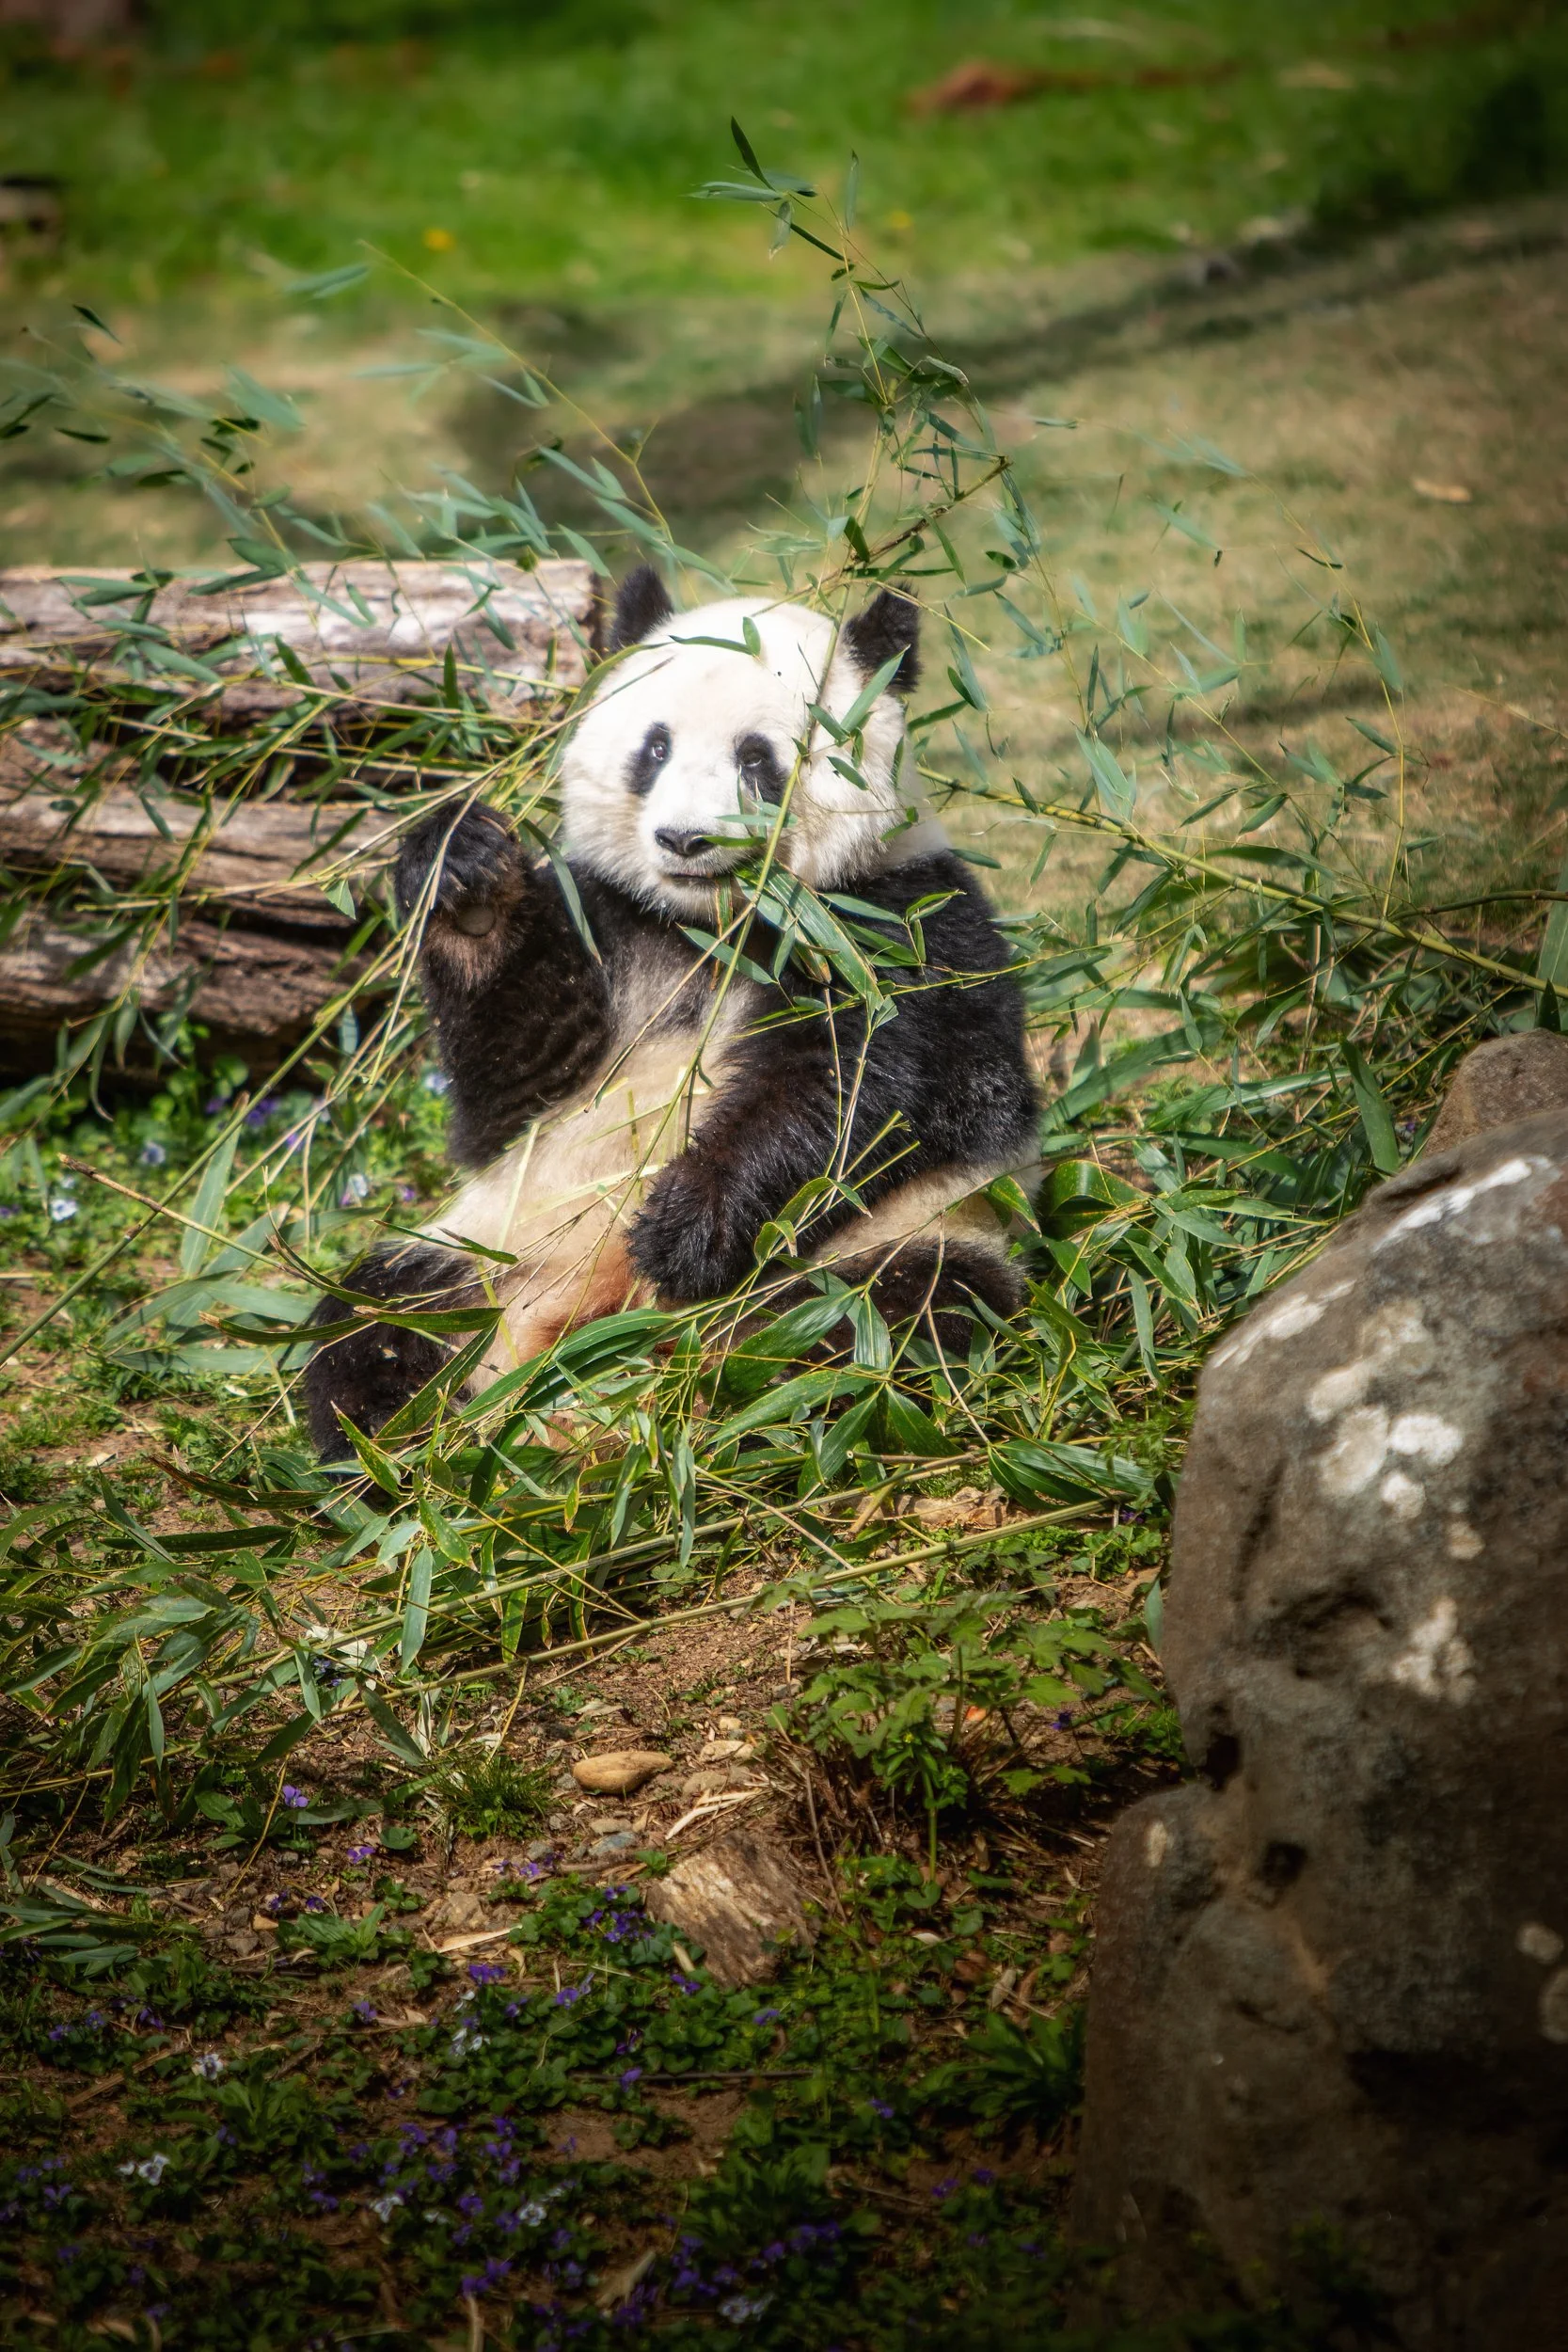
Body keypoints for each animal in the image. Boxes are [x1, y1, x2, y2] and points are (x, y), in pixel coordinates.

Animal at [302, 566, 1039, 1459]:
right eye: (653, 748)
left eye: (756, 757)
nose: (686, 840)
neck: (714, 923)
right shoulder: (610, 923)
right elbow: (514, 1080)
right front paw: (467, 887)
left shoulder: (893, 925)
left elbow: (853, 1087)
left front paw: (685, 1230)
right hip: (491, 1248)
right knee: (372, 1316)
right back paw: (394, 1439)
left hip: (909, 1233)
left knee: (888, 1317)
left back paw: (727, 1393)